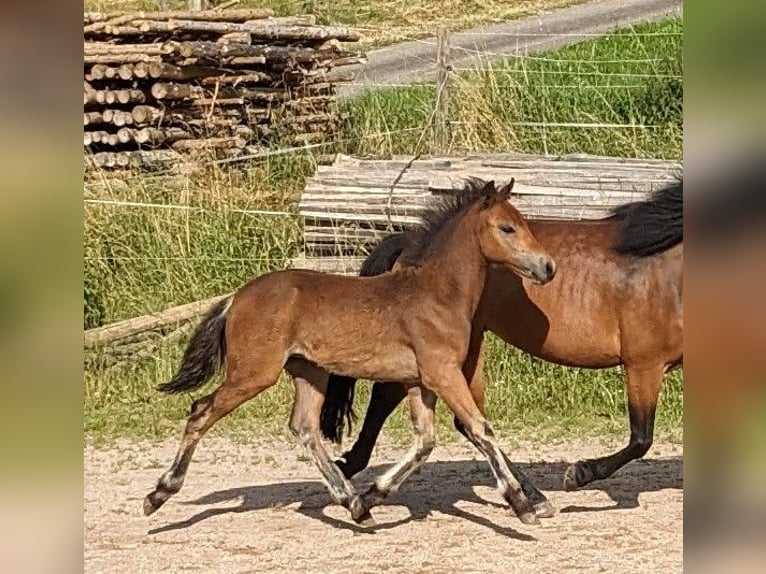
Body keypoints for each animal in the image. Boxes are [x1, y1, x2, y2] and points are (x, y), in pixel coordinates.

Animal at [142, 180, 560, 528]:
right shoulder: (442, 373)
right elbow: (480, 428)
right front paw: (522, 505)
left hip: (309, 371)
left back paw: (354, 505)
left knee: (305, 428)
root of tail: (235, 299)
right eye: (507, 228)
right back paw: (158, 494)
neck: (435, 293)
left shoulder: (419, 381)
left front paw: (374, 494)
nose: (548, 267)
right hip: (253, 373)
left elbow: (425, 442)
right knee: (200, 412)